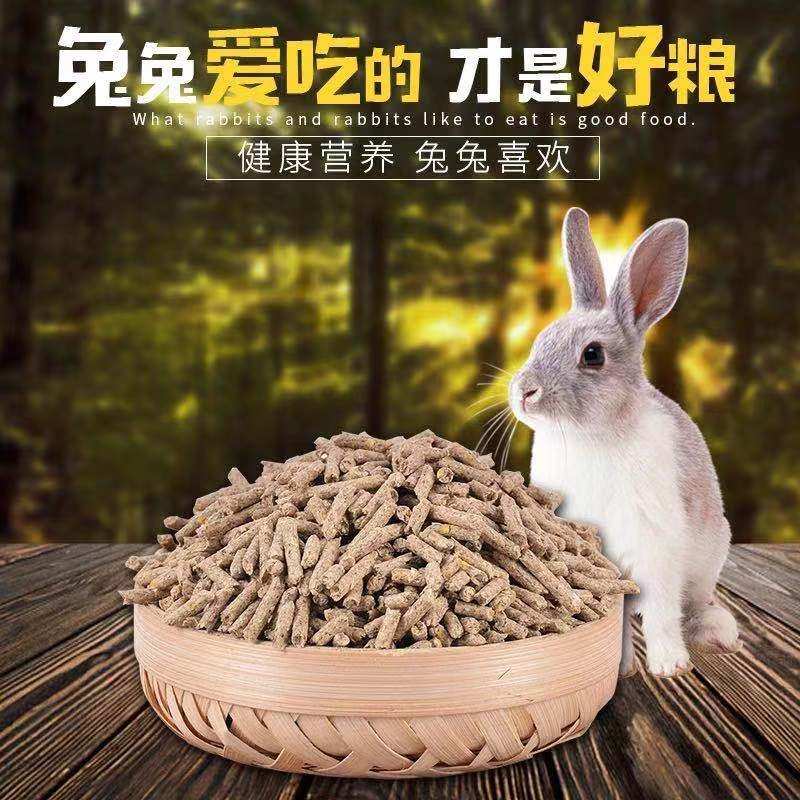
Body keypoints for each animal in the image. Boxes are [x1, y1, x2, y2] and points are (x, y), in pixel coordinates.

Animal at [508, 207, 741, 678]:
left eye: (593, 354)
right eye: (540, 340)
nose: (524, 392)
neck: (590, 435)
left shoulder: (655, 545)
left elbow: (661, 612)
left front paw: (669, 665)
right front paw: (623, 668)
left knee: (692, 603)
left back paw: (715, 632)